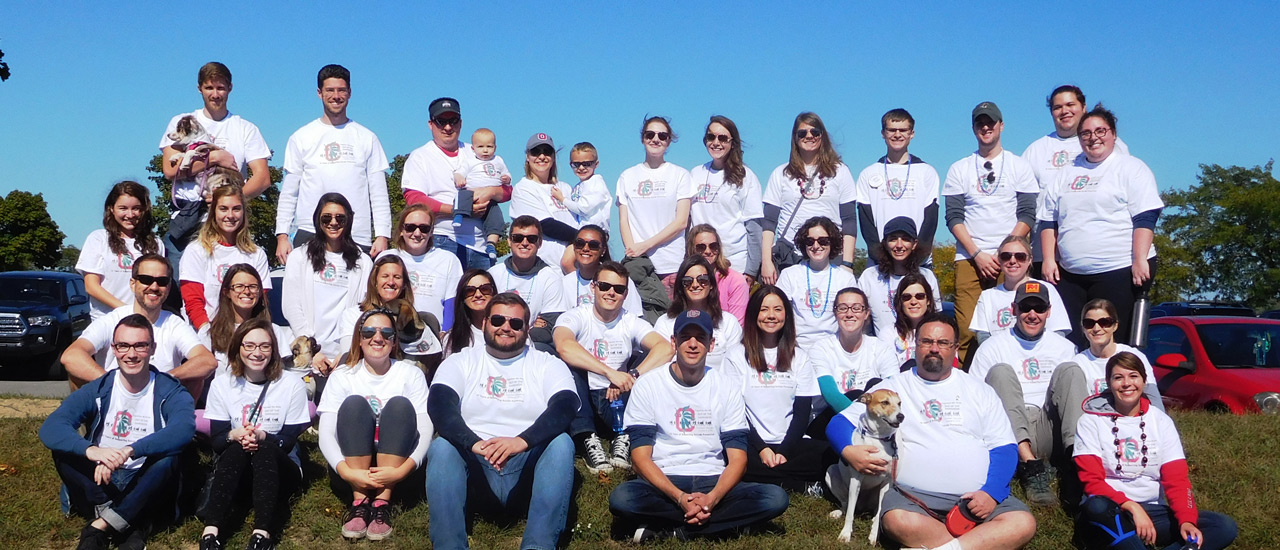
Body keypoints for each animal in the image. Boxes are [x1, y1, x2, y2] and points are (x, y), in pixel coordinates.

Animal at [824, 388, 906, 542]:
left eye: (899, 403)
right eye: (885, 402)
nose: (901, 416)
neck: (880, 438)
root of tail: (863, 507)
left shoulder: (887, 482)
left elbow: (880, 512)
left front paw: (874, 534)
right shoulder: (856, 479)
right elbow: (850, 513)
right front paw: (845, 534)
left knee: (876, 511)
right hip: (831, 472)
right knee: (846, 505)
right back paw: (838, 512)